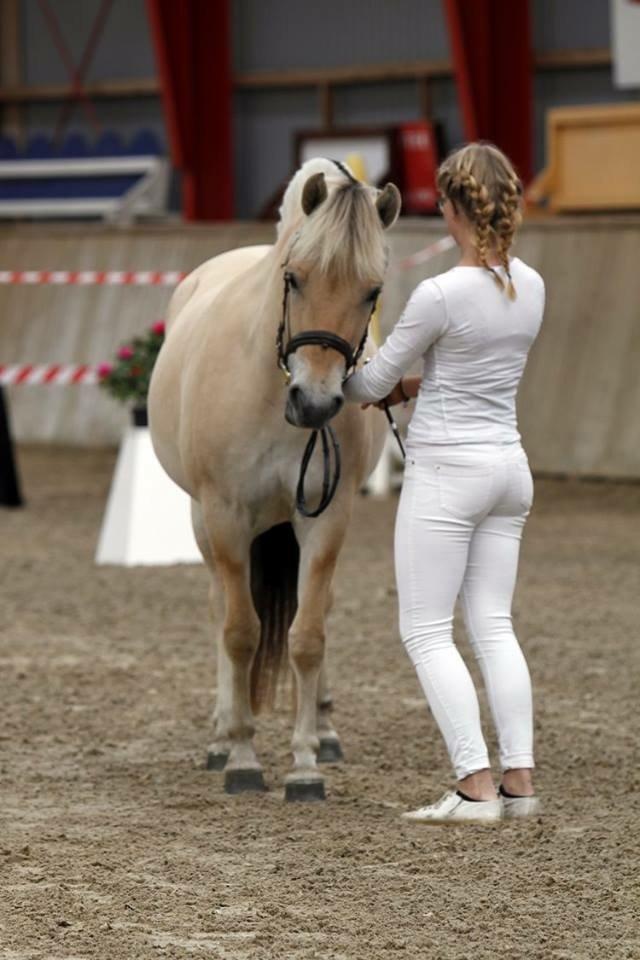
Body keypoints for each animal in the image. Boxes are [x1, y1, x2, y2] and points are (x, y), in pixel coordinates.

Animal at [150, 159, 400, 804]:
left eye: (372, 292)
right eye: (294, 278)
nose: (314, 402)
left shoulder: (327, 519)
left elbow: (307, 635)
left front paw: (306, 763)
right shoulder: (226, 515)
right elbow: (240, 631)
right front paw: (240, 756)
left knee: (316, 613)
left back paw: (327, 731)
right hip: (204, 523)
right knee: (221, 607)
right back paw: (219, 736)